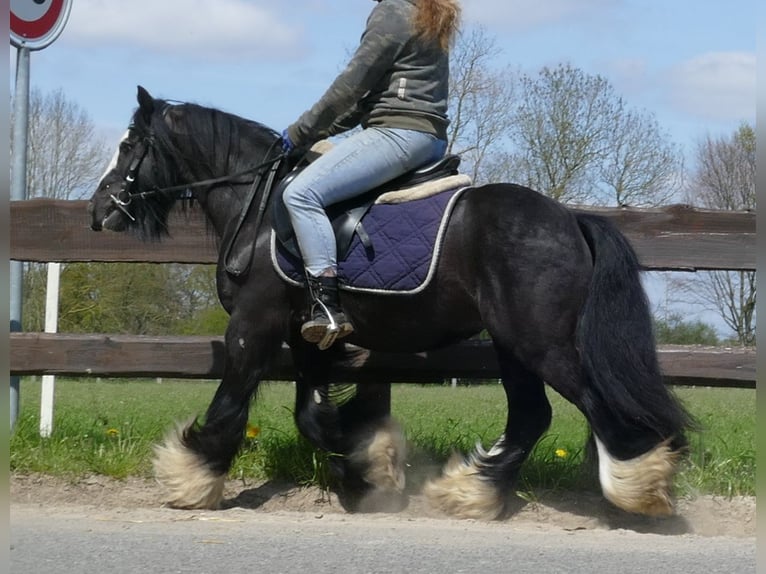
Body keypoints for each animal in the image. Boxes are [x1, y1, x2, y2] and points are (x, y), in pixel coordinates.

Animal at [87, 86, 692, 520]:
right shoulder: (309, 335)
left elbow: (230, 404)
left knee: (594, 404)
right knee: (531, 416)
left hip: (541, 343)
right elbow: (313, 417)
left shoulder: (254, 325)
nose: (98, 212)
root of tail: (570, 219)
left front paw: (191, 476)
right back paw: (472, 491)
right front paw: (369, 473)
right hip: (512, 344)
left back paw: (638, 488)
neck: (259, 211)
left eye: (128, 145)